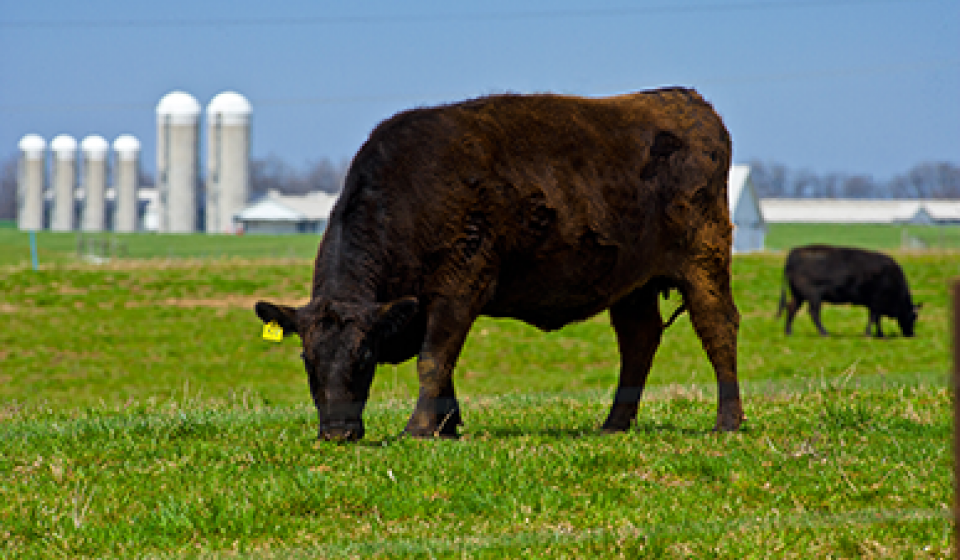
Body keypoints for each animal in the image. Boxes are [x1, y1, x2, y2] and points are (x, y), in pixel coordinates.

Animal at [776, 244, 920, 336]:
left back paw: (788, 332)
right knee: (813, 313)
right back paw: (824, 333)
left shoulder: (875, 304)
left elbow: (876, 319)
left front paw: (878, 334)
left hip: (798, 295)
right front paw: (870, 334)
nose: (912, 334)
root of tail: (794, 252)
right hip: (814, 296)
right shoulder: (876, 302)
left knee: (791, 308)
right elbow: (874, 319)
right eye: (914, 317)